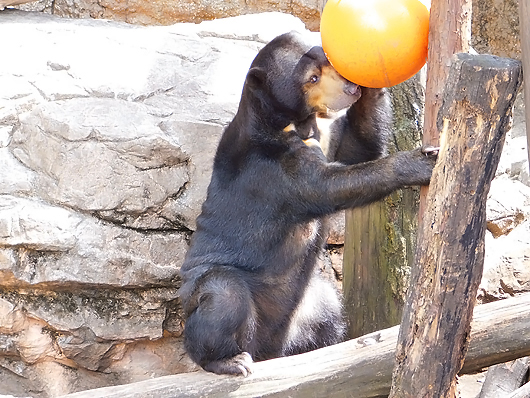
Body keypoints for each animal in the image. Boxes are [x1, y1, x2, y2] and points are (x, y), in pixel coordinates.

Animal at [178, 31, 438, 376]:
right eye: (312, 78)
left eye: (329, 61)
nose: (350, 89)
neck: (294, 124)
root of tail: (267, 347)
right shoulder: (271, 167)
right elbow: (328, 186)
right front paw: (420, 162)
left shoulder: (324, 136)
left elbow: (359, 147)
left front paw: (372, 80)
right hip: (209, 292)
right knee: (223, 294)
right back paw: (229, 360)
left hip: (308, 304)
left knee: (328, 309)